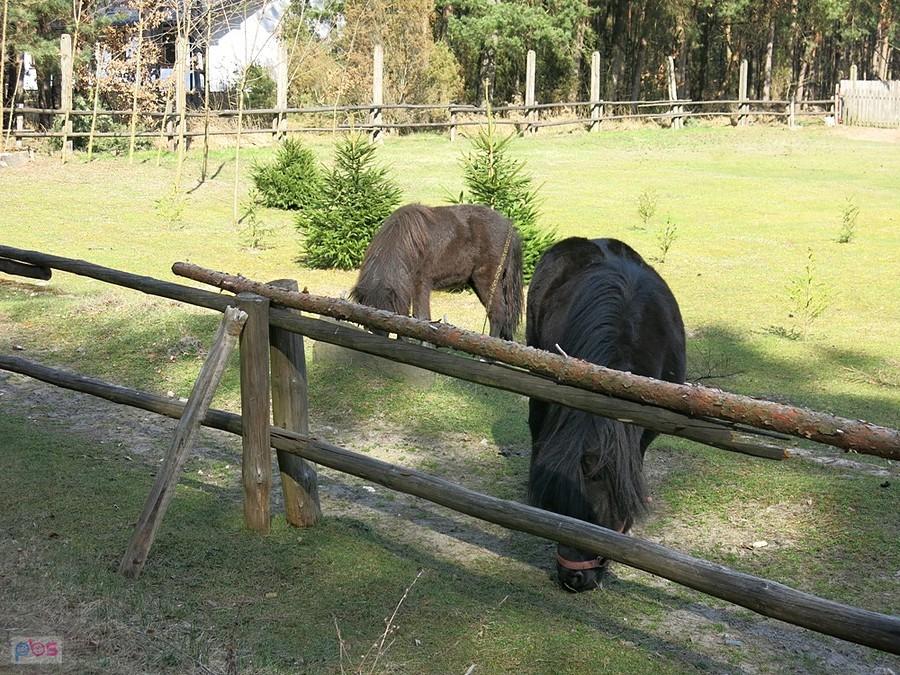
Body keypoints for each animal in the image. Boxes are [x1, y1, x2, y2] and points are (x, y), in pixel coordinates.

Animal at [350, 204, 524, 340]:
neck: (406, 240)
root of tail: (510, 229)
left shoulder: (421, 284)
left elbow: (421, 317)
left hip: (486, 280)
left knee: (498, 313)